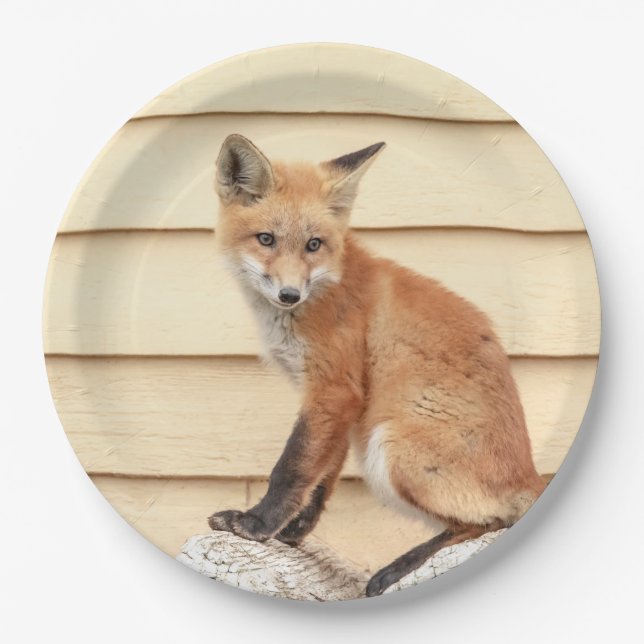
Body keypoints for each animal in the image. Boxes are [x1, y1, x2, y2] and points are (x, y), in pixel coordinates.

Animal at [207, 133, 548, 597]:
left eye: (313, 244)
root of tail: (528, 477)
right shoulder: (340, 403)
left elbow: (292, 468)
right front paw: (292, 532)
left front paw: (256, 524)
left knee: (489, 522)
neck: (325, 287)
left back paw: (400, 566)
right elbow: (322, 477)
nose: (290, 294)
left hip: (390, 448)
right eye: (266, 239)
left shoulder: (334, 388)